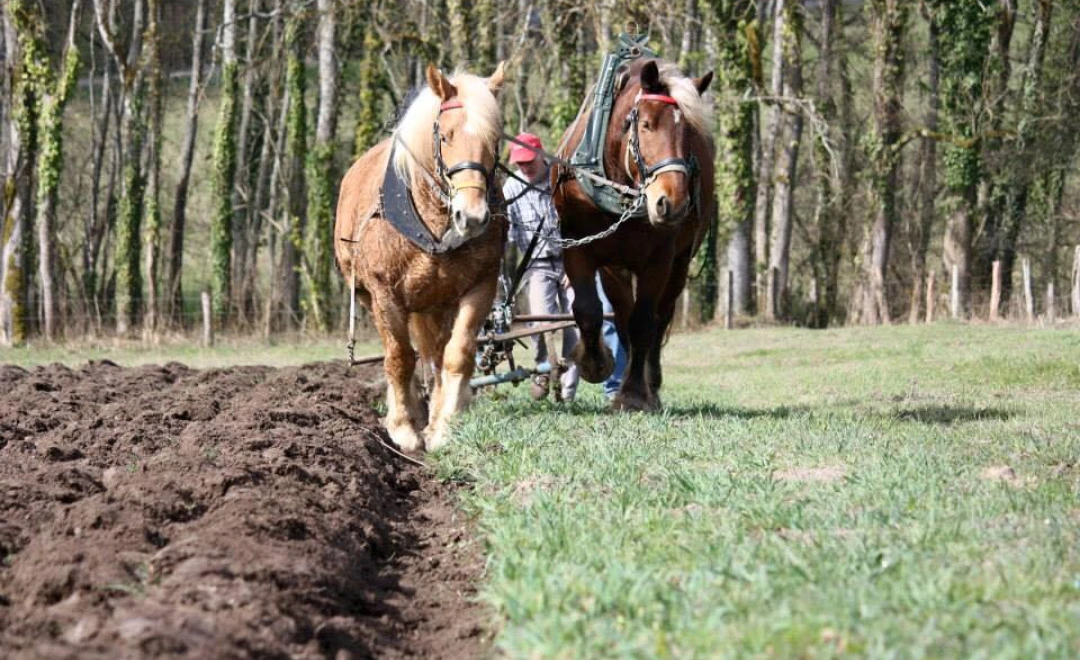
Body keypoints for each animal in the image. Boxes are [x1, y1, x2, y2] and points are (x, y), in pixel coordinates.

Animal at [334, 64, 507, 451]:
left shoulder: (481, 285)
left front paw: (444, 426)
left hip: (437, 303)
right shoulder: (384, 293)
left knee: (436, 353)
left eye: (495, 139)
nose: (472, 217)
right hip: (372, 298)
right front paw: (403, 428)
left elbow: (457, 354)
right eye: (446, 135)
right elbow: (399, 357)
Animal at [552, 60, 712, 412]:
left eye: (690, 133)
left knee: (660, 317)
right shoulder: (579, 248)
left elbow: (644, 322)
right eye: (647, 125)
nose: (672, 202)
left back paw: (651, 384)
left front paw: (635, 394)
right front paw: (594, 363)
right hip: (617, 268)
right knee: (622, 314)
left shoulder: (660, 258)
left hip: (679, 263)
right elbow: (589, 310)